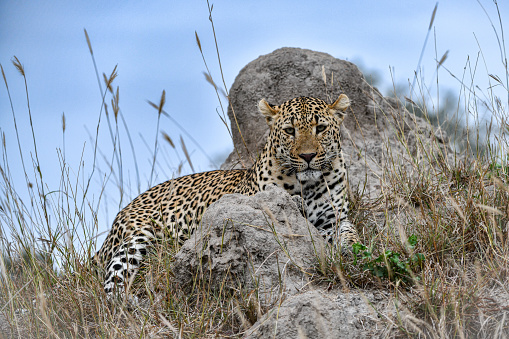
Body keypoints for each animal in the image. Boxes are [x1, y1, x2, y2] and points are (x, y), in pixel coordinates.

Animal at [93, 93, 360, 294]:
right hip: (136, 238)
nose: (307, 156)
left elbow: (350, 231)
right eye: (289, 131)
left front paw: (353, 249)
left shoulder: (332, 220)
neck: (307, 185)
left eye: (321, 128)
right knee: (113, 282)